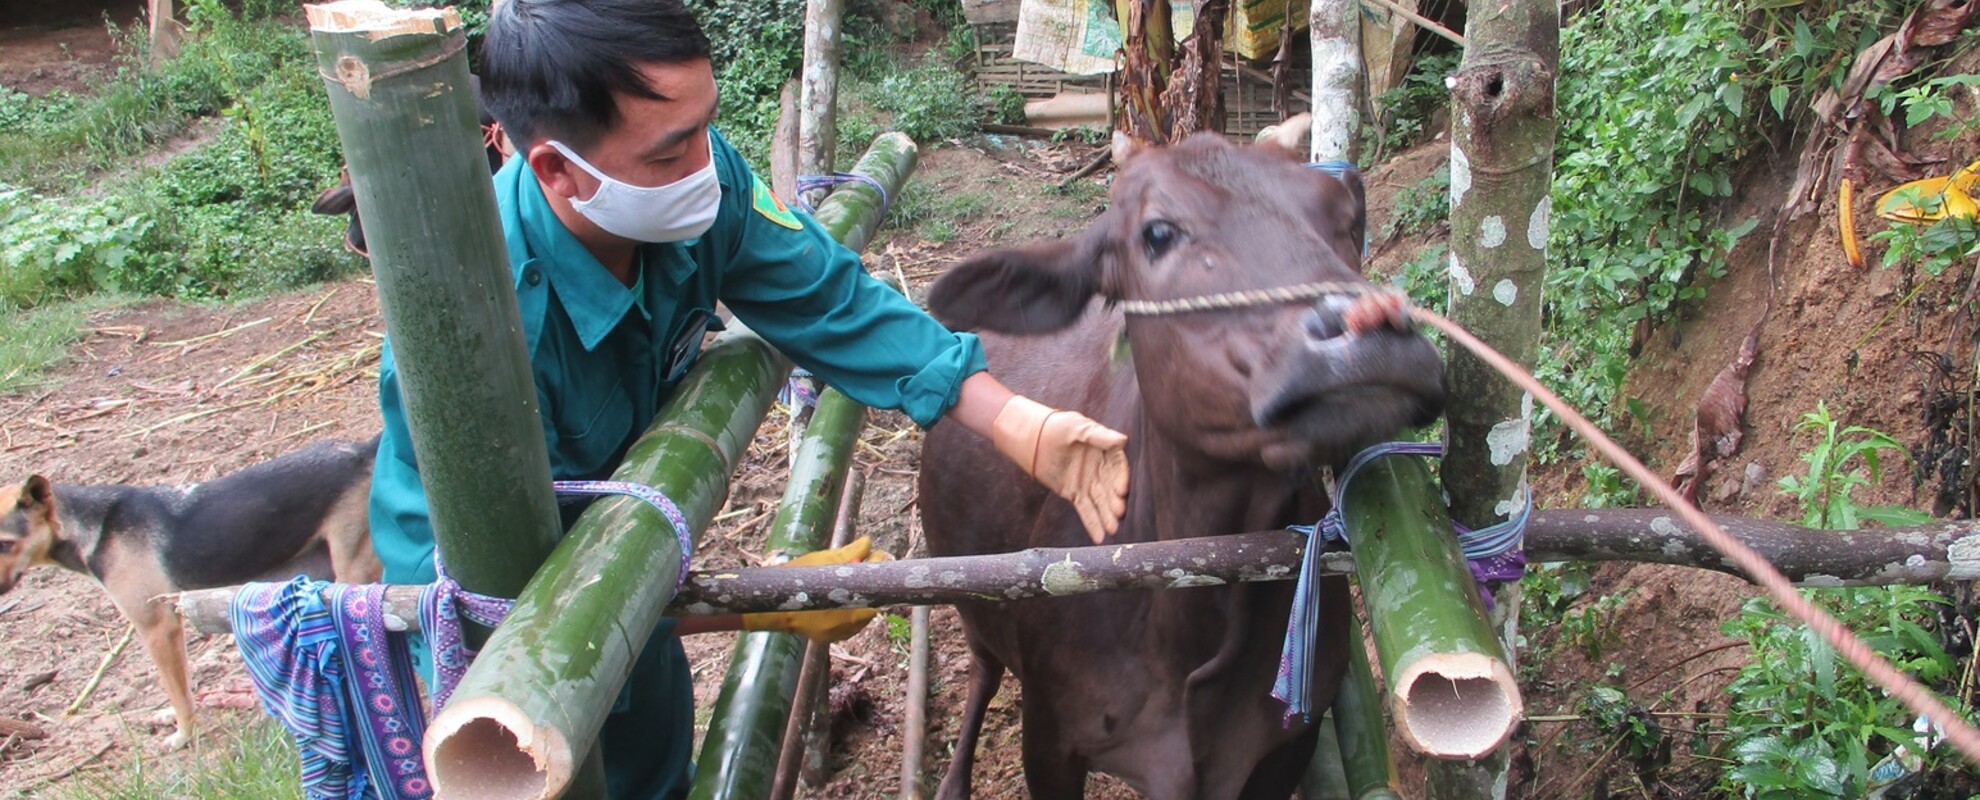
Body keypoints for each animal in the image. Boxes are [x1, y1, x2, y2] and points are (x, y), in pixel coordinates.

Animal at [917, 115, 1448, 799]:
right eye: (1158, 232)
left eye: (1346, 215)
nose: (1369, 332)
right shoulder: (1050, 737)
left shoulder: (1285, 749)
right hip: (966, 590)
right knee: (982, 667)